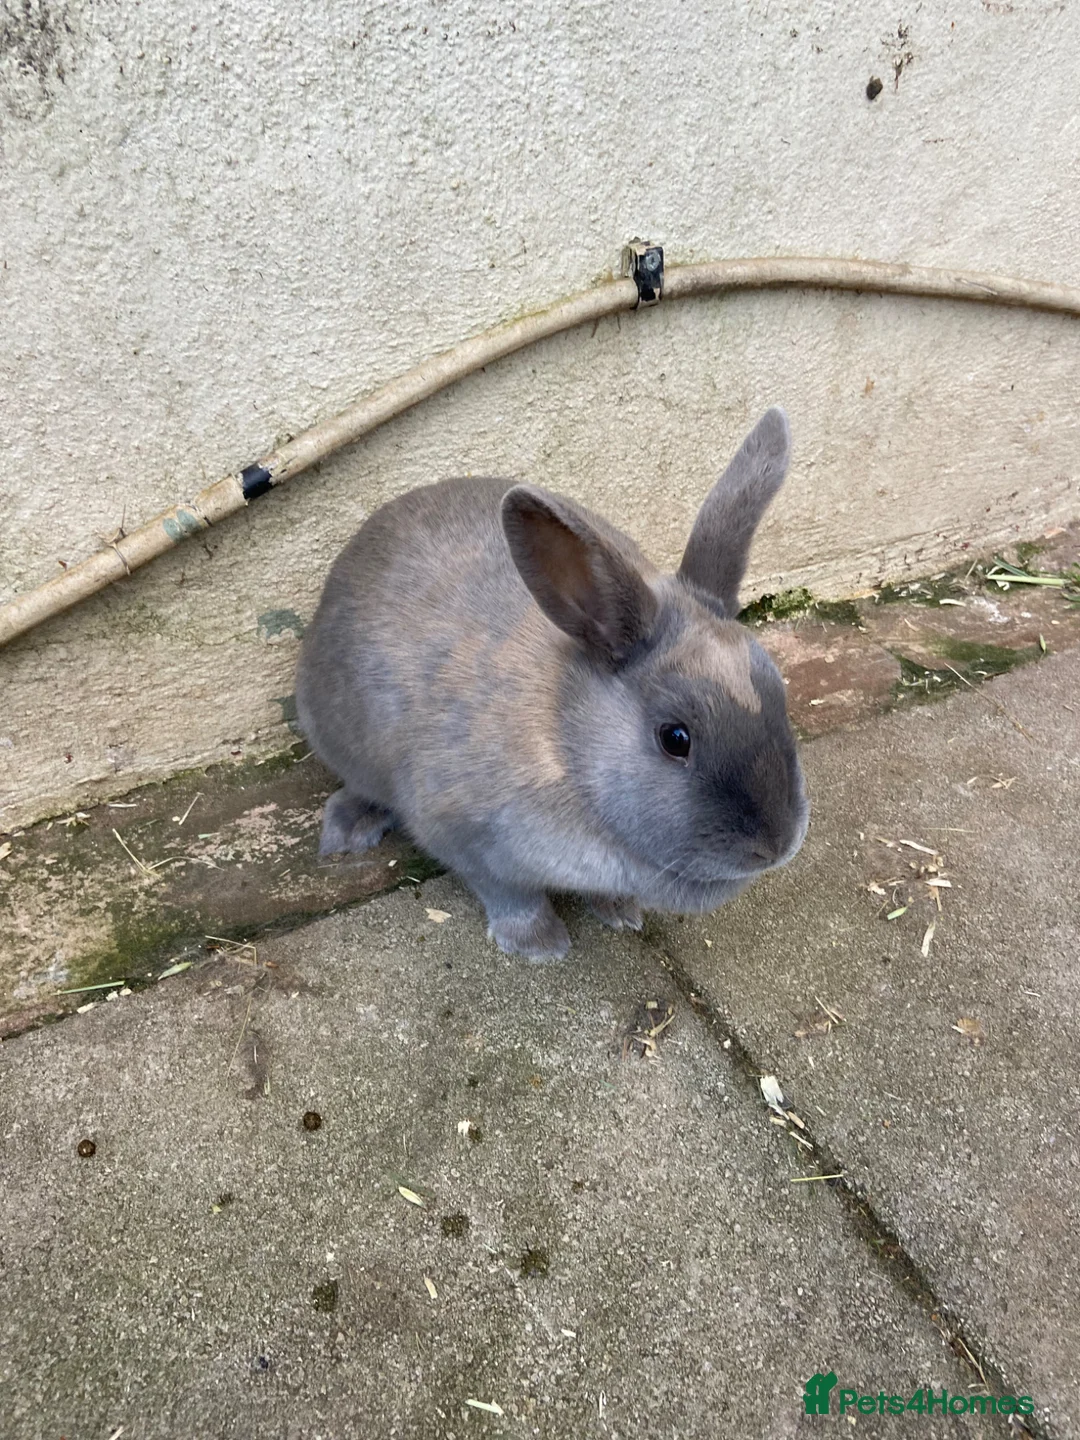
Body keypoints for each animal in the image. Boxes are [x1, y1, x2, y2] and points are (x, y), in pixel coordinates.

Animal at [295, 406, 808, 960]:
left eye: (779, 691)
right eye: (675, 738)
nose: (775, 845)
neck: (568, 747)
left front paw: (620, 914)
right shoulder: (460, 834)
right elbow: (509, 893)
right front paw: (539, 946)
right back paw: (349, 831)